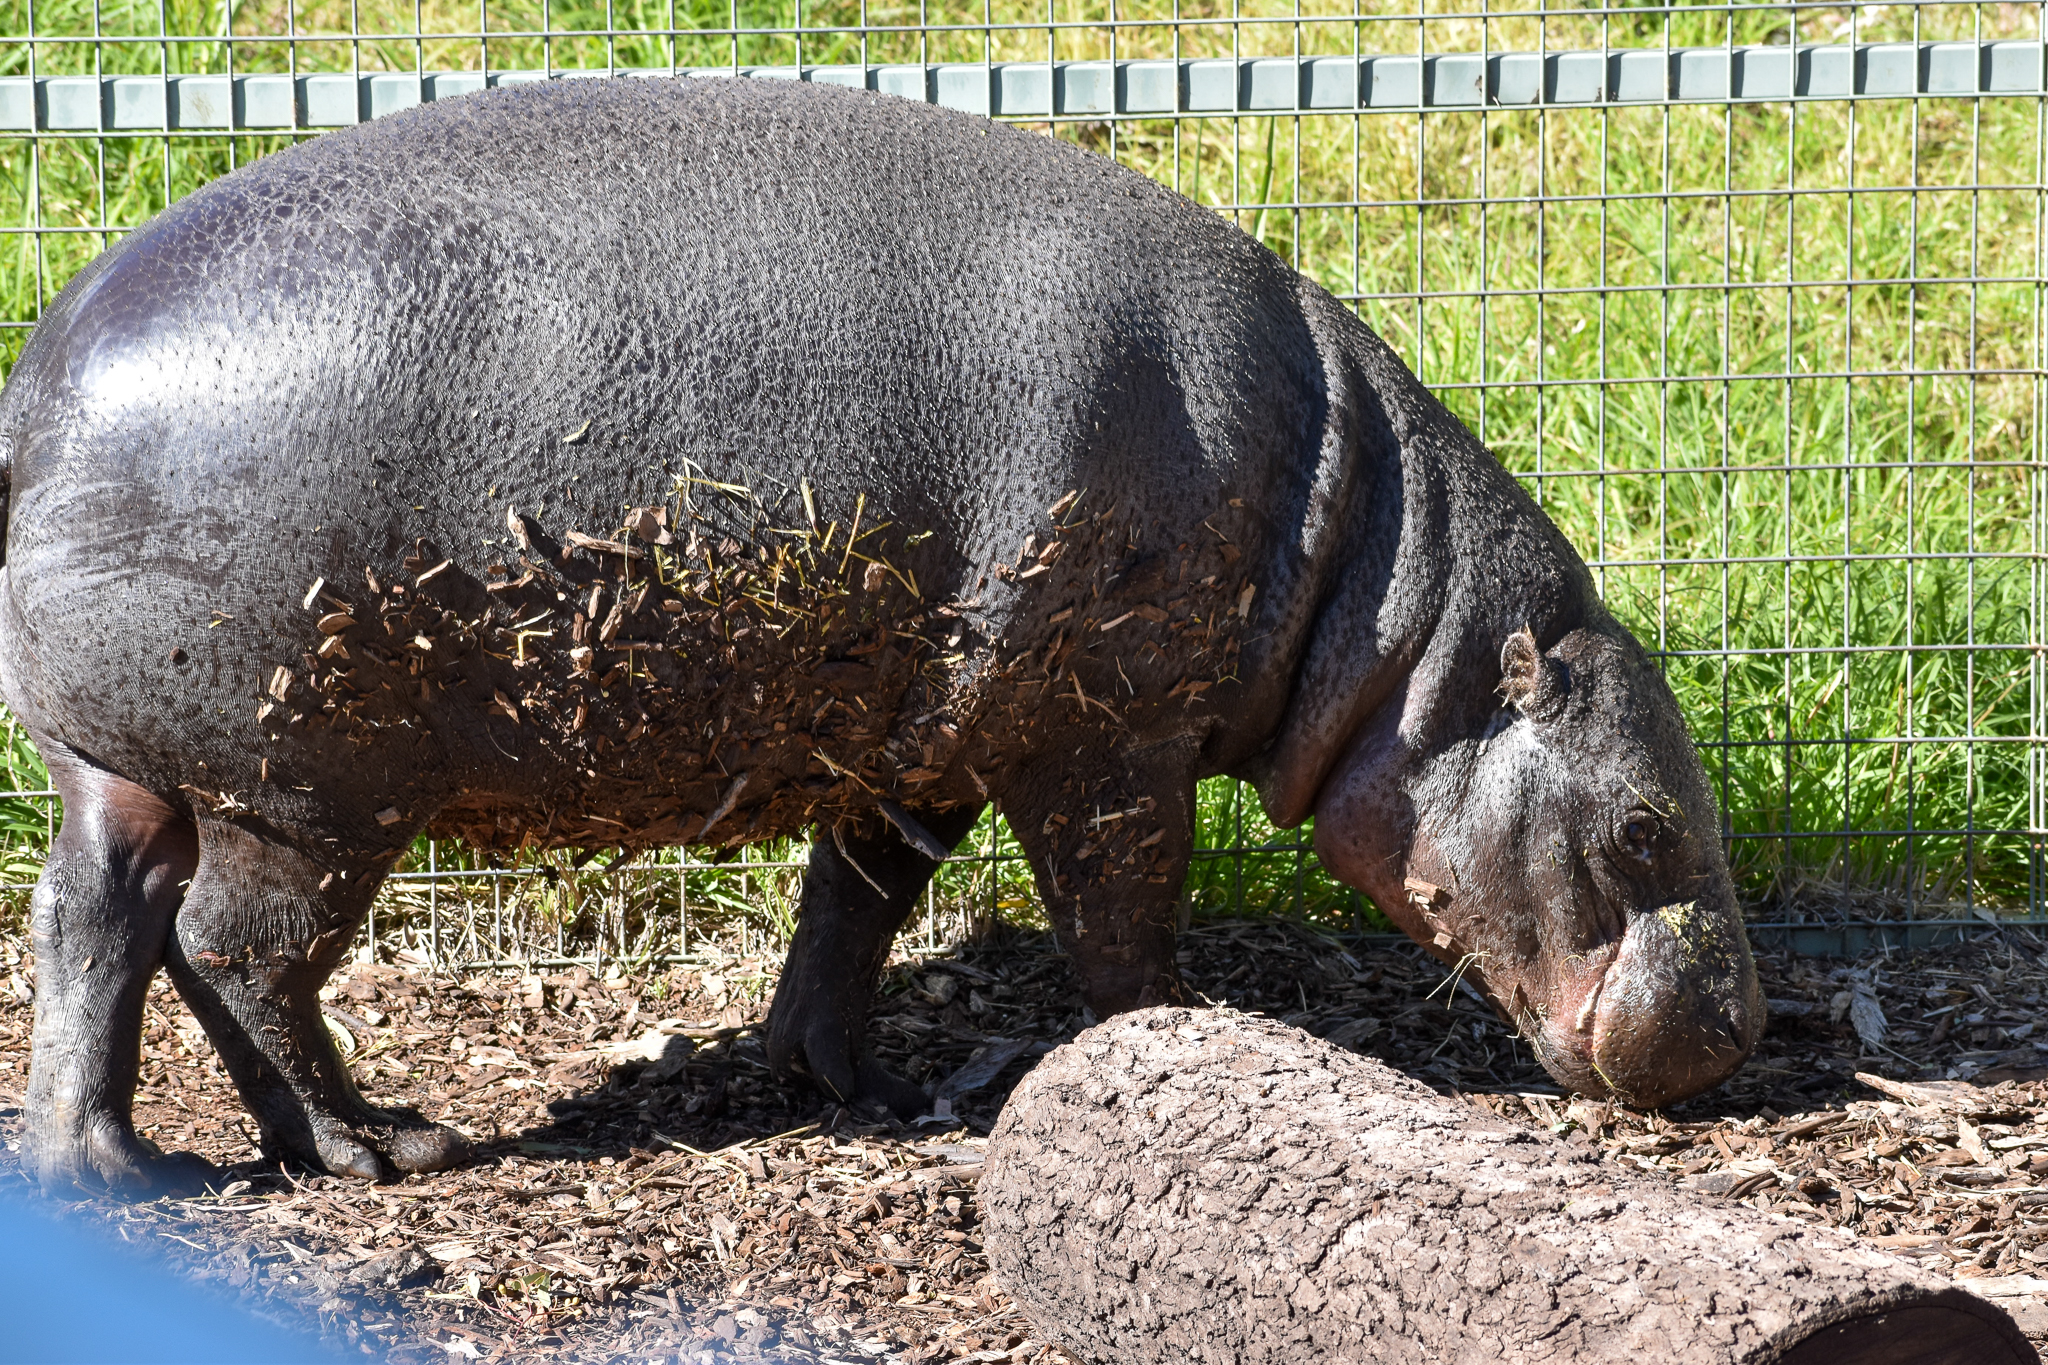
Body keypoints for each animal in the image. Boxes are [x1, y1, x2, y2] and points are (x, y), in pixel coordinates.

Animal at [0, 76, 1762, 1195]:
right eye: (1645, 826)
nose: (1737, 1037)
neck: (1398, 639)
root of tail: (48, 367)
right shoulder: (1104, 741)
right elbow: (1118, 914)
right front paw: (1171, 1036)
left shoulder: (921, 738)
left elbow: (856, 905)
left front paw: (864, 1088)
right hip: (315, 783)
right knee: (235, 945)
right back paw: (386, 1147)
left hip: (129, 759)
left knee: (94, 915)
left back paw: (120, 1168)